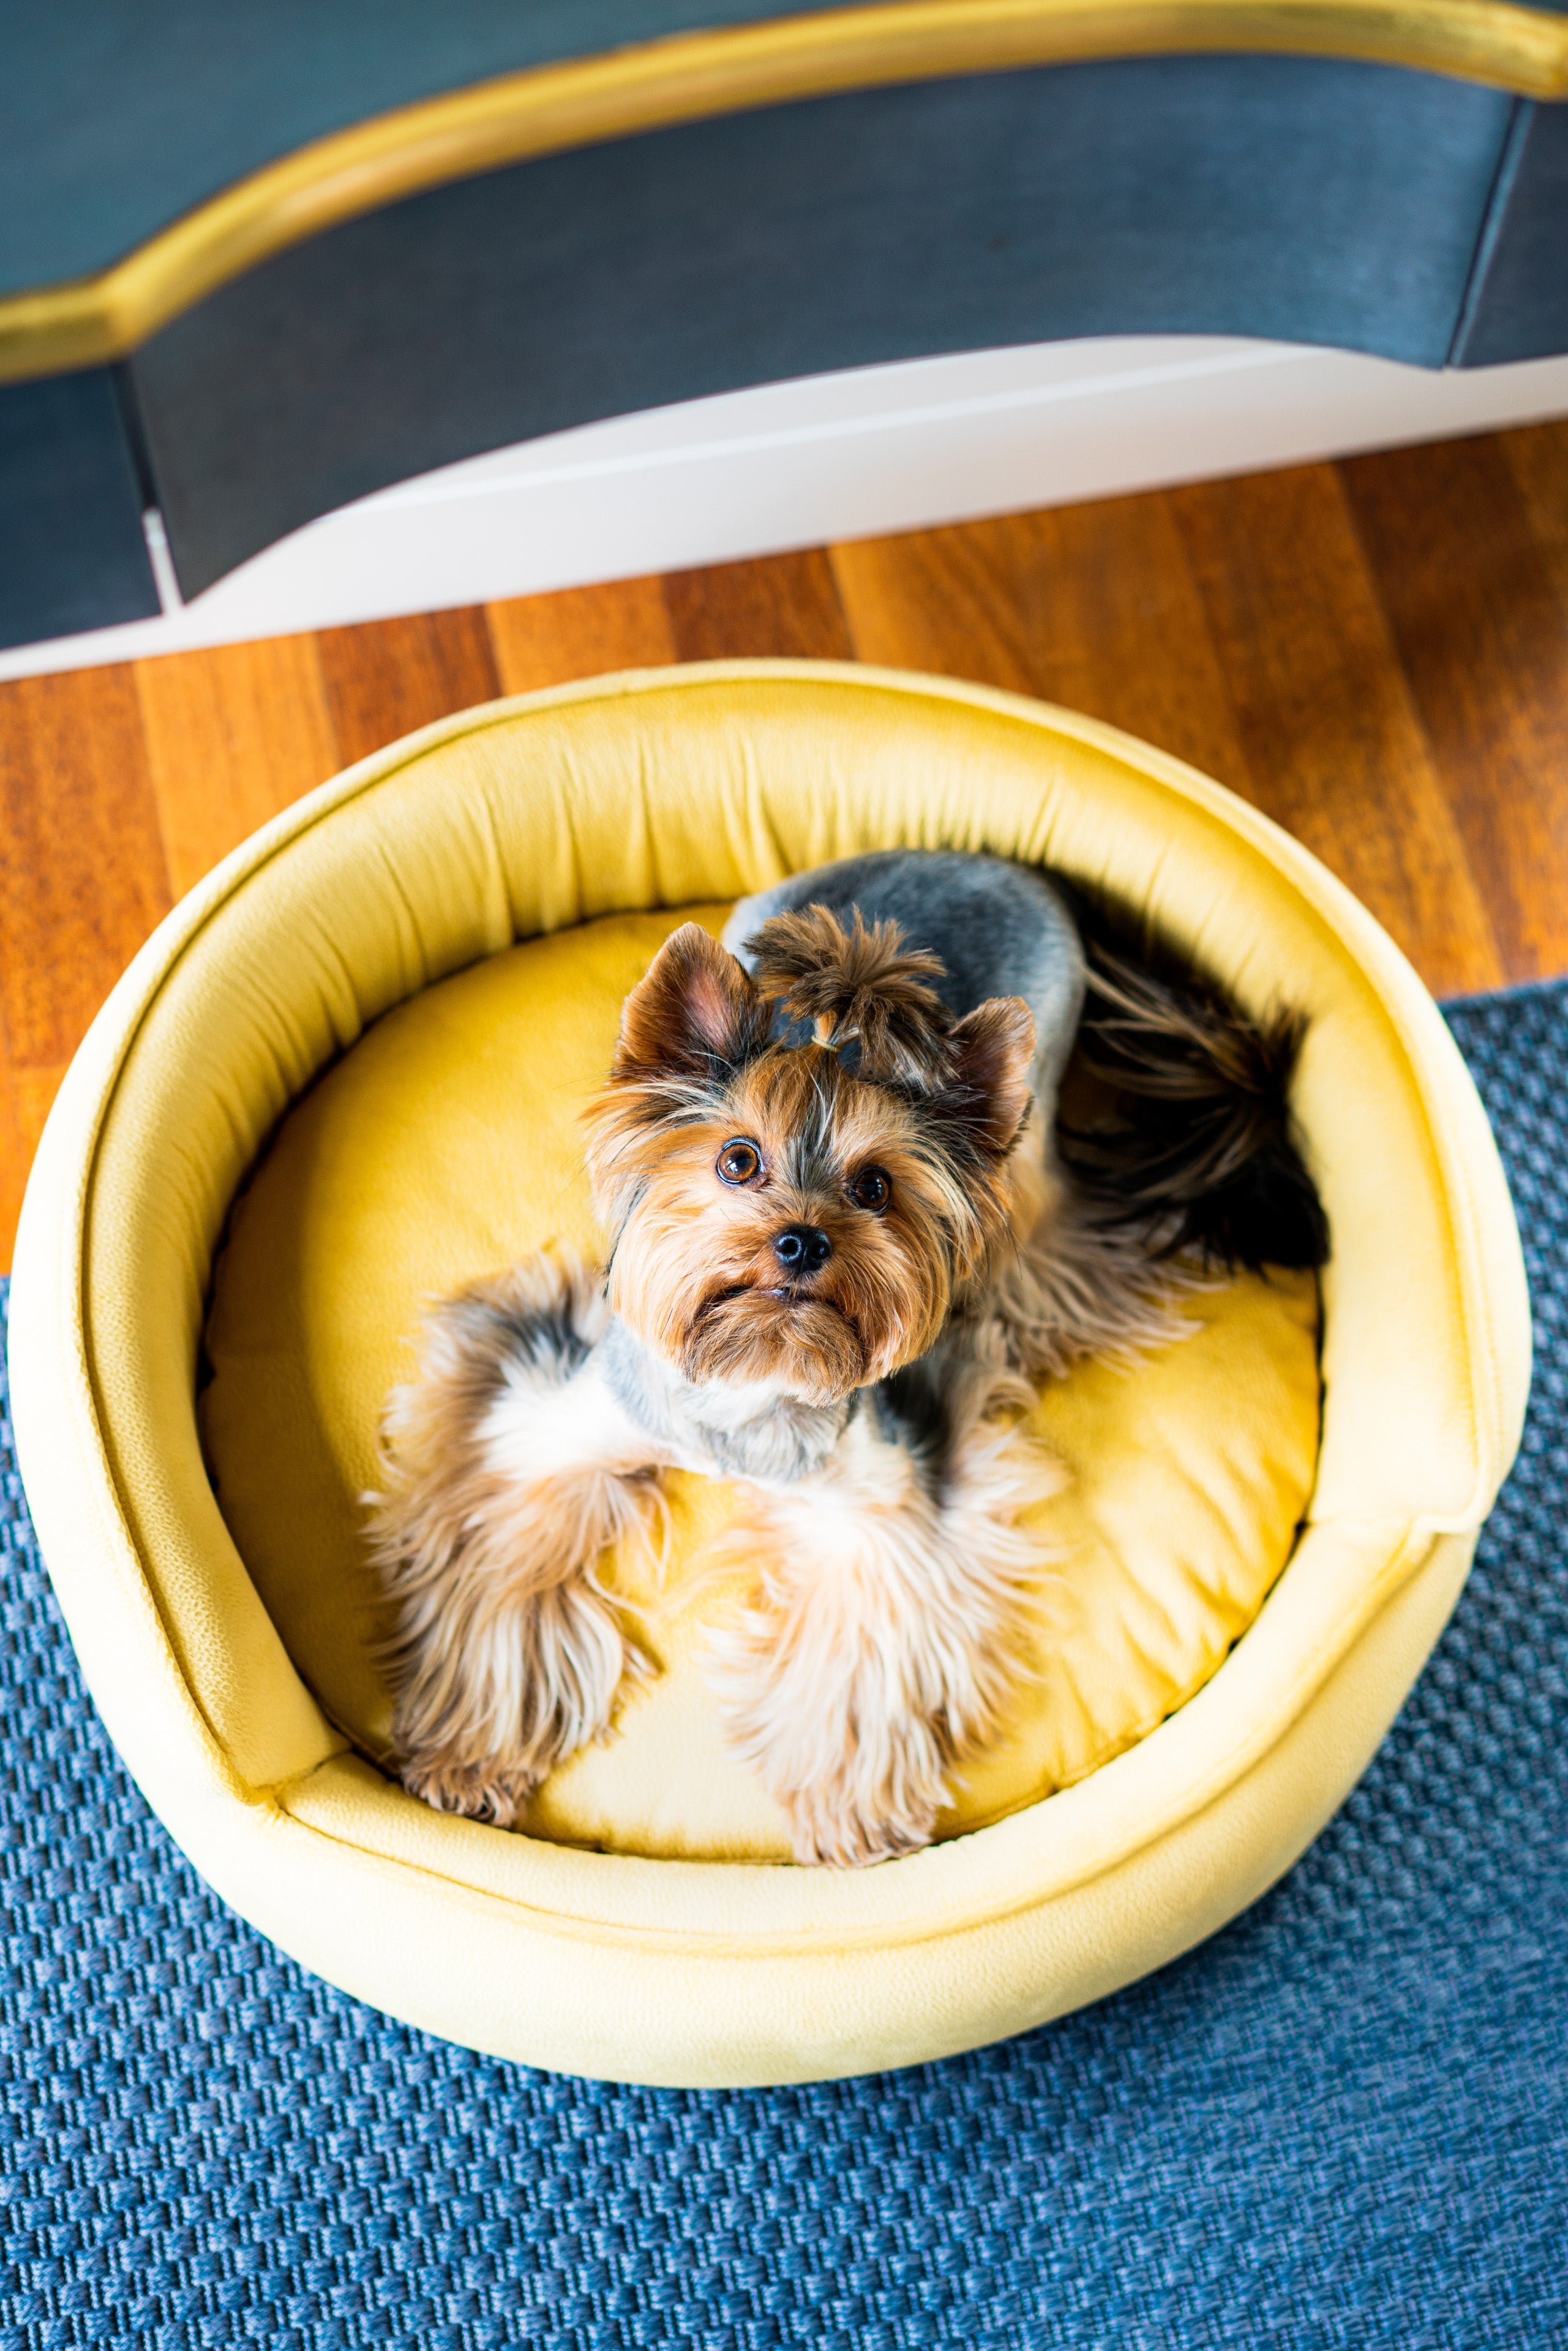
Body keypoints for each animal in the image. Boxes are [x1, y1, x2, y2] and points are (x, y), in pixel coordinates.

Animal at [371, 855, 1326, 1862]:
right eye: (737, 1160)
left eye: (874, 1187)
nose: (801, 1242)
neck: (752, 1372)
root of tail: (1013, 871)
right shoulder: (550, 1424)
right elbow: (501, 1567)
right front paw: (469, 1752)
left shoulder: (876, 1501)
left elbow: (859, 1645)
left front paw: (847, 1812)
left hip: (1027, 1150)